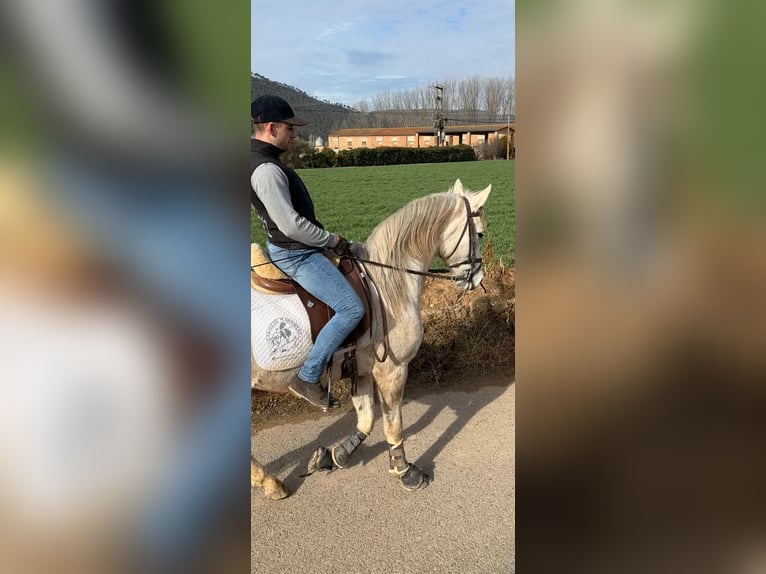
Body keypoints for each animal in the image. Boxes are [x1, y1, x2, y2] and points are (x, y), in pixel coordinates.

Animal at [252, 180, 492, 500]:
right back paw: (269, 481)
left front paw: (335, 455)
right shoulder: (392, 370)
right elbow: (393, 425)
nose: (477, 278)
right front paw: (405, 471)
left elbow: (366, 420)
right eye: (479, 233)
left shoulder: (361, 370)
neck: (385, 283)